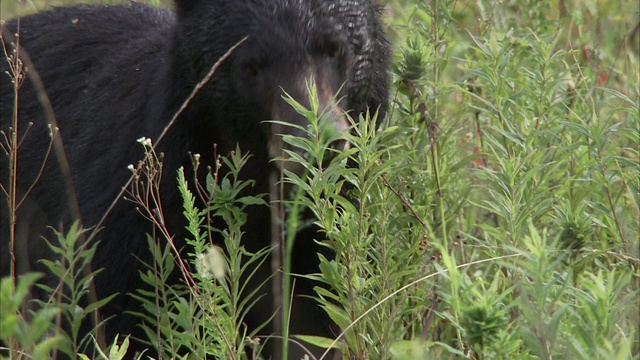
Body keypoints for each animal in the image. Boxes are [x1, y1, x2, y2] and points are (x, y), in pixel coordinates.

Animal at [0, 0, 388, 356]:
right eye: (250, 65)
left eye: (335, 49)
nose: (316, 145)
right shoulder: (135, 206)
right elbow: (97, 302)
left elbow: (314, 317)